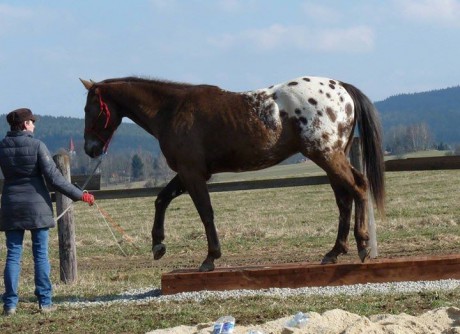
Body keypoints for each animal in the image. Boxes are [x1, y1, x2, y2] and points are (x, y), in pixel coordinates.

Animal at [79, 75, 384, 272]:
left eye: (90, 109)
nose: (90, 149)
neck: (172, 110)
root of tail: (342, 88)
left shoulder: (192, 173)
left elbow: (205, 212)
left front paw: (210, 257)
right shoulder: (189, 173)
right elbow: (161, 199)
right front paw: (158, 245)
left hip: (327, 156)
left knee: (358, 188)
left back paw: (362, 245)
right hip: (332, 157)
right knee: (345, 198)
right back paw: (334, 252)